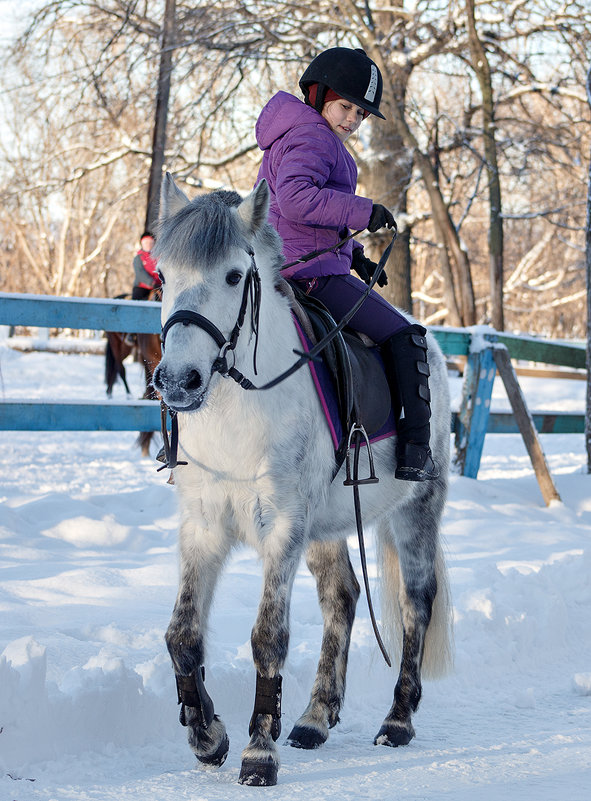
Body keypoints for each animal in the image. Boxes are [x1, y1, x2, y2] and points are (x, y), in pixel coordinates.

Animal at [153, 175, 454, 788]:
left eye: (234, 276)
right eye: (164, 276)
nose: (177, 381)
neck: (239, 409)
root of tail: (434, 350)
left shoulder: (283, 528)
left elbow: (269, 636)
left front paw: (258, 753)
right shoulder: (203, 527)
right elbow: (182, 634)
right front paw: (207, 736)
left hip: (417, 509)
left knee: (416, 602)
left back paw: (398, 720)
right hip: (327, 527)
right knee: (343, 596)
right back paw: (316, 716)